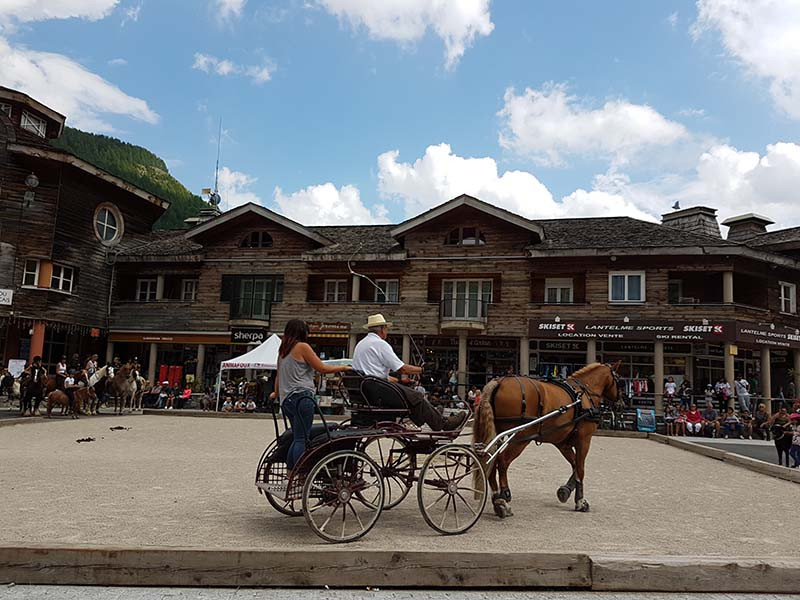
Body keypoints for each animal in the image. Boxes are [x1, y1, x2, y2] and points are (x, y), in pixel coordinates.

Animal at [472, 360, 620, 516]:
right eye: (618, 379)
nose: (620, 402)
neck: (583, 394)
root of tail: (499, 381)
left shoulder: (563, 443)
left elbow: (574, 465)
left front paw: (565, 491)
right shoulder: (584, 439)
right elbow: (580, 469)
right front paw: (580, 501)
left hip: (499, 435)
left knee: (491, 462)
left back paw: (498, 501)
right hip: (521, 437)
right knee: (502, 461)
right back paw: (504, 496)